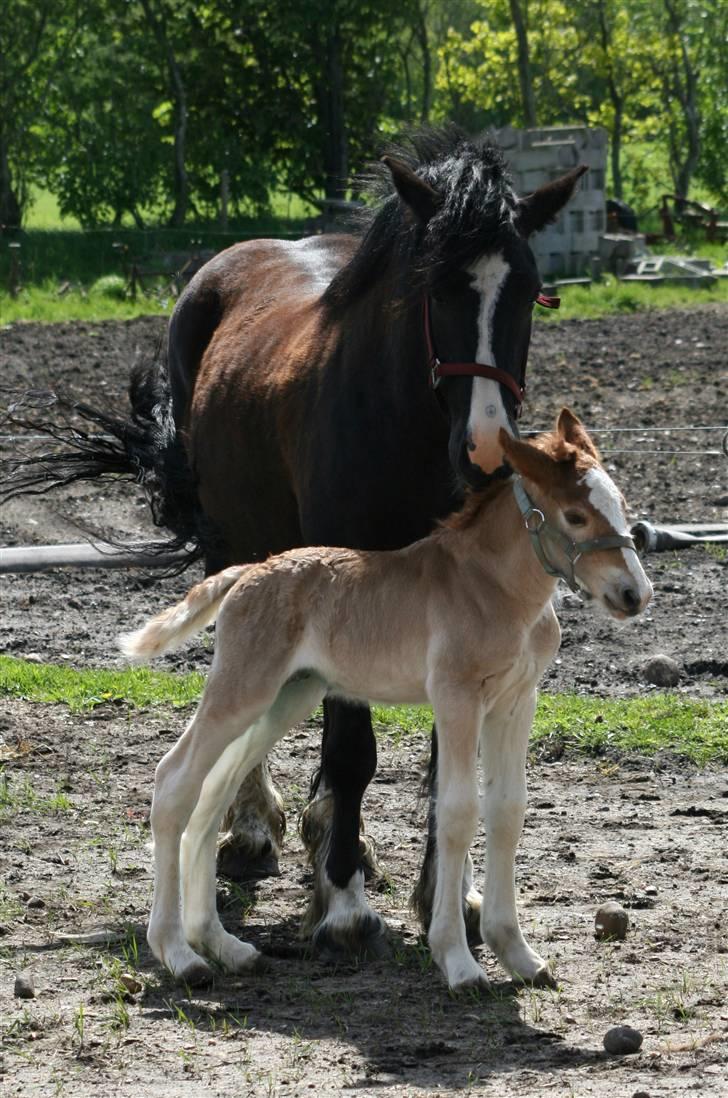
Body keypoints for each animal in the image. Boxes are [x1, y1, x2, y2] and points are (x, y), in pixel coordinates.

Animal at [2, 126, 588, 953]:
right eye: (437, 287)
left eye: (531, 289)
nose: (483, 451)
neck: (403, 423)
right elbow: (351, 751)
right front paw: (341, 900)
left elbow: (444, 762)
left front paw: (448, 894)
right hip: (238, 551)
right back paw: (255, 828)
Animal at [122, 408, 650, 992]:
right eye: (576, 516)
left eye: (621, 506)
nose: (634, 594)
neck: (493, 588)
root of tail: (246, 573)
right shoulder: (456, 695)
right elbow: (458, 810)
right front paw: (458, 961)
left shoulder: (516, 700)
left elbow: (508, 810)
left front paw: (519, 954)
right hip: (243, 686)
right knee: (174, 780)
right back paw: (179, 955)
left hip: (289, 695)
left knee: (213, 791)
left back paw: (224, 946)